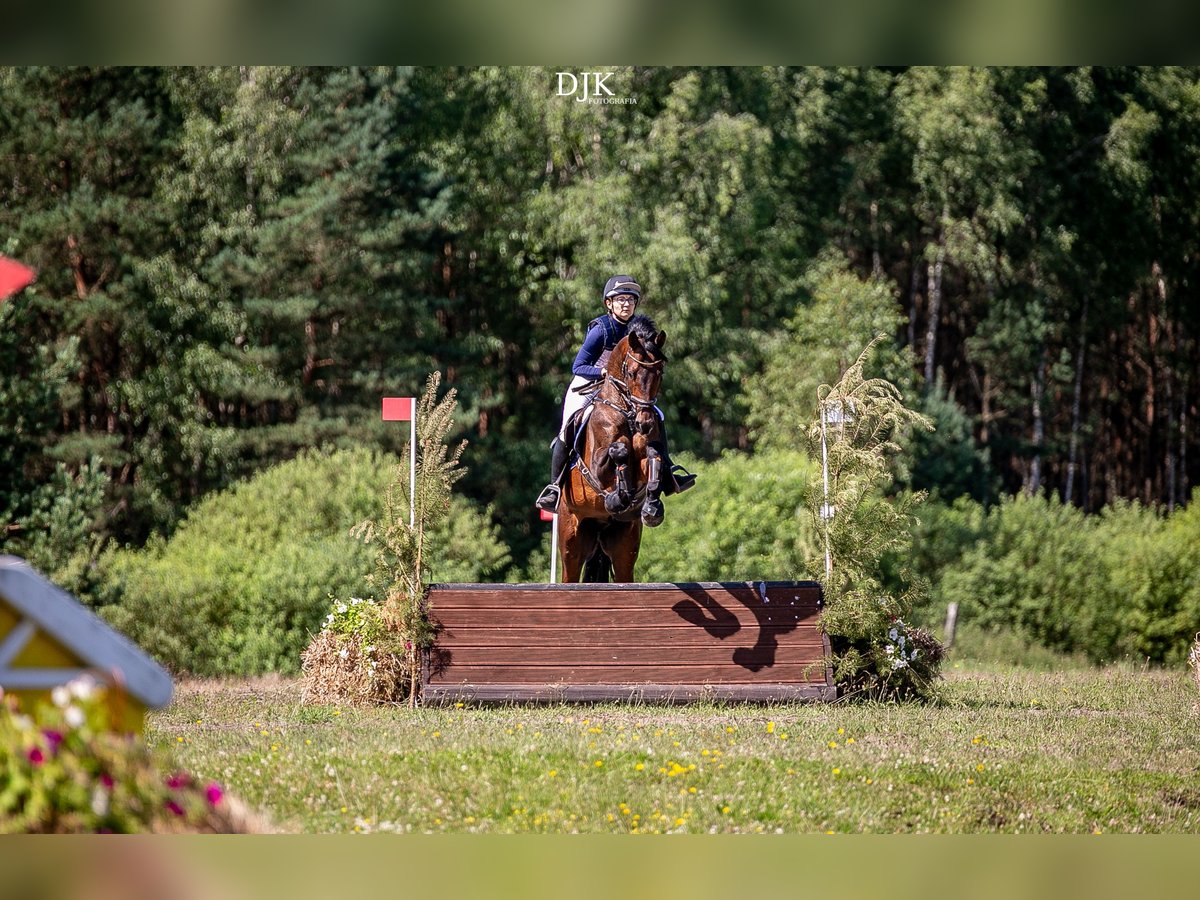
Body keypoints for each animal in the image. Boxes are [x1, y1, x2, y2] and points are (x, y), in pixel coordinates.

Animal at [556, 314, 672, 585]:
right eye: (631, 372)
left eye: (660, 373)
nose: (645, 423)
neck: (627, 413)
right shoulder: (596, 464)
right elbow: (618, 451)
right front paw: (617, 497)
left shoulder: (647, 456)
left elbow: (654, 456)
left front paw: (652, 507)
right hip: (570, 540)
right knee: (569, 573)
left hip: (624, 547)